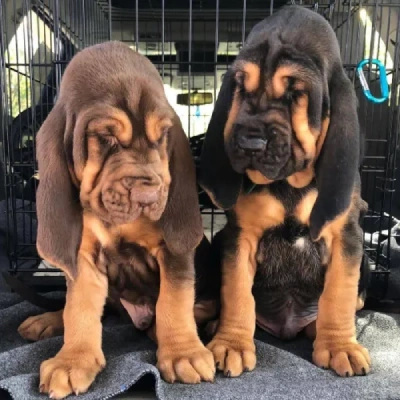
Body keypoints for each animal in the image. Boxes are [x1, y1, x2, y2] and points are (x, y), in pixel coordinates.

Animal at [17, 41, 217, 400]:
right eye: (105, 136)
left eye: (163, 136)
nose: (149, 197)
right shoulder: (84, 256)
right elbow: (79, 307)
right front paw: (73, 360)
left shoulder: (173, 251)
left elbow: (174, 299)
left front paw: (184, 353)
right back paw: (47, 320)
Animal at [200, 6, 372, 380]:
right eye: (240, 87)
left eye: (295, 95)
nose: (248, 142)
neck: (289, 182)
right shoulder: (240, 237)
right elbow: (237, 293)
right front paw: (231, 343)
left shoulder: (346, 236)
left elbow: (340, 293)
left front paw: (340, 346)